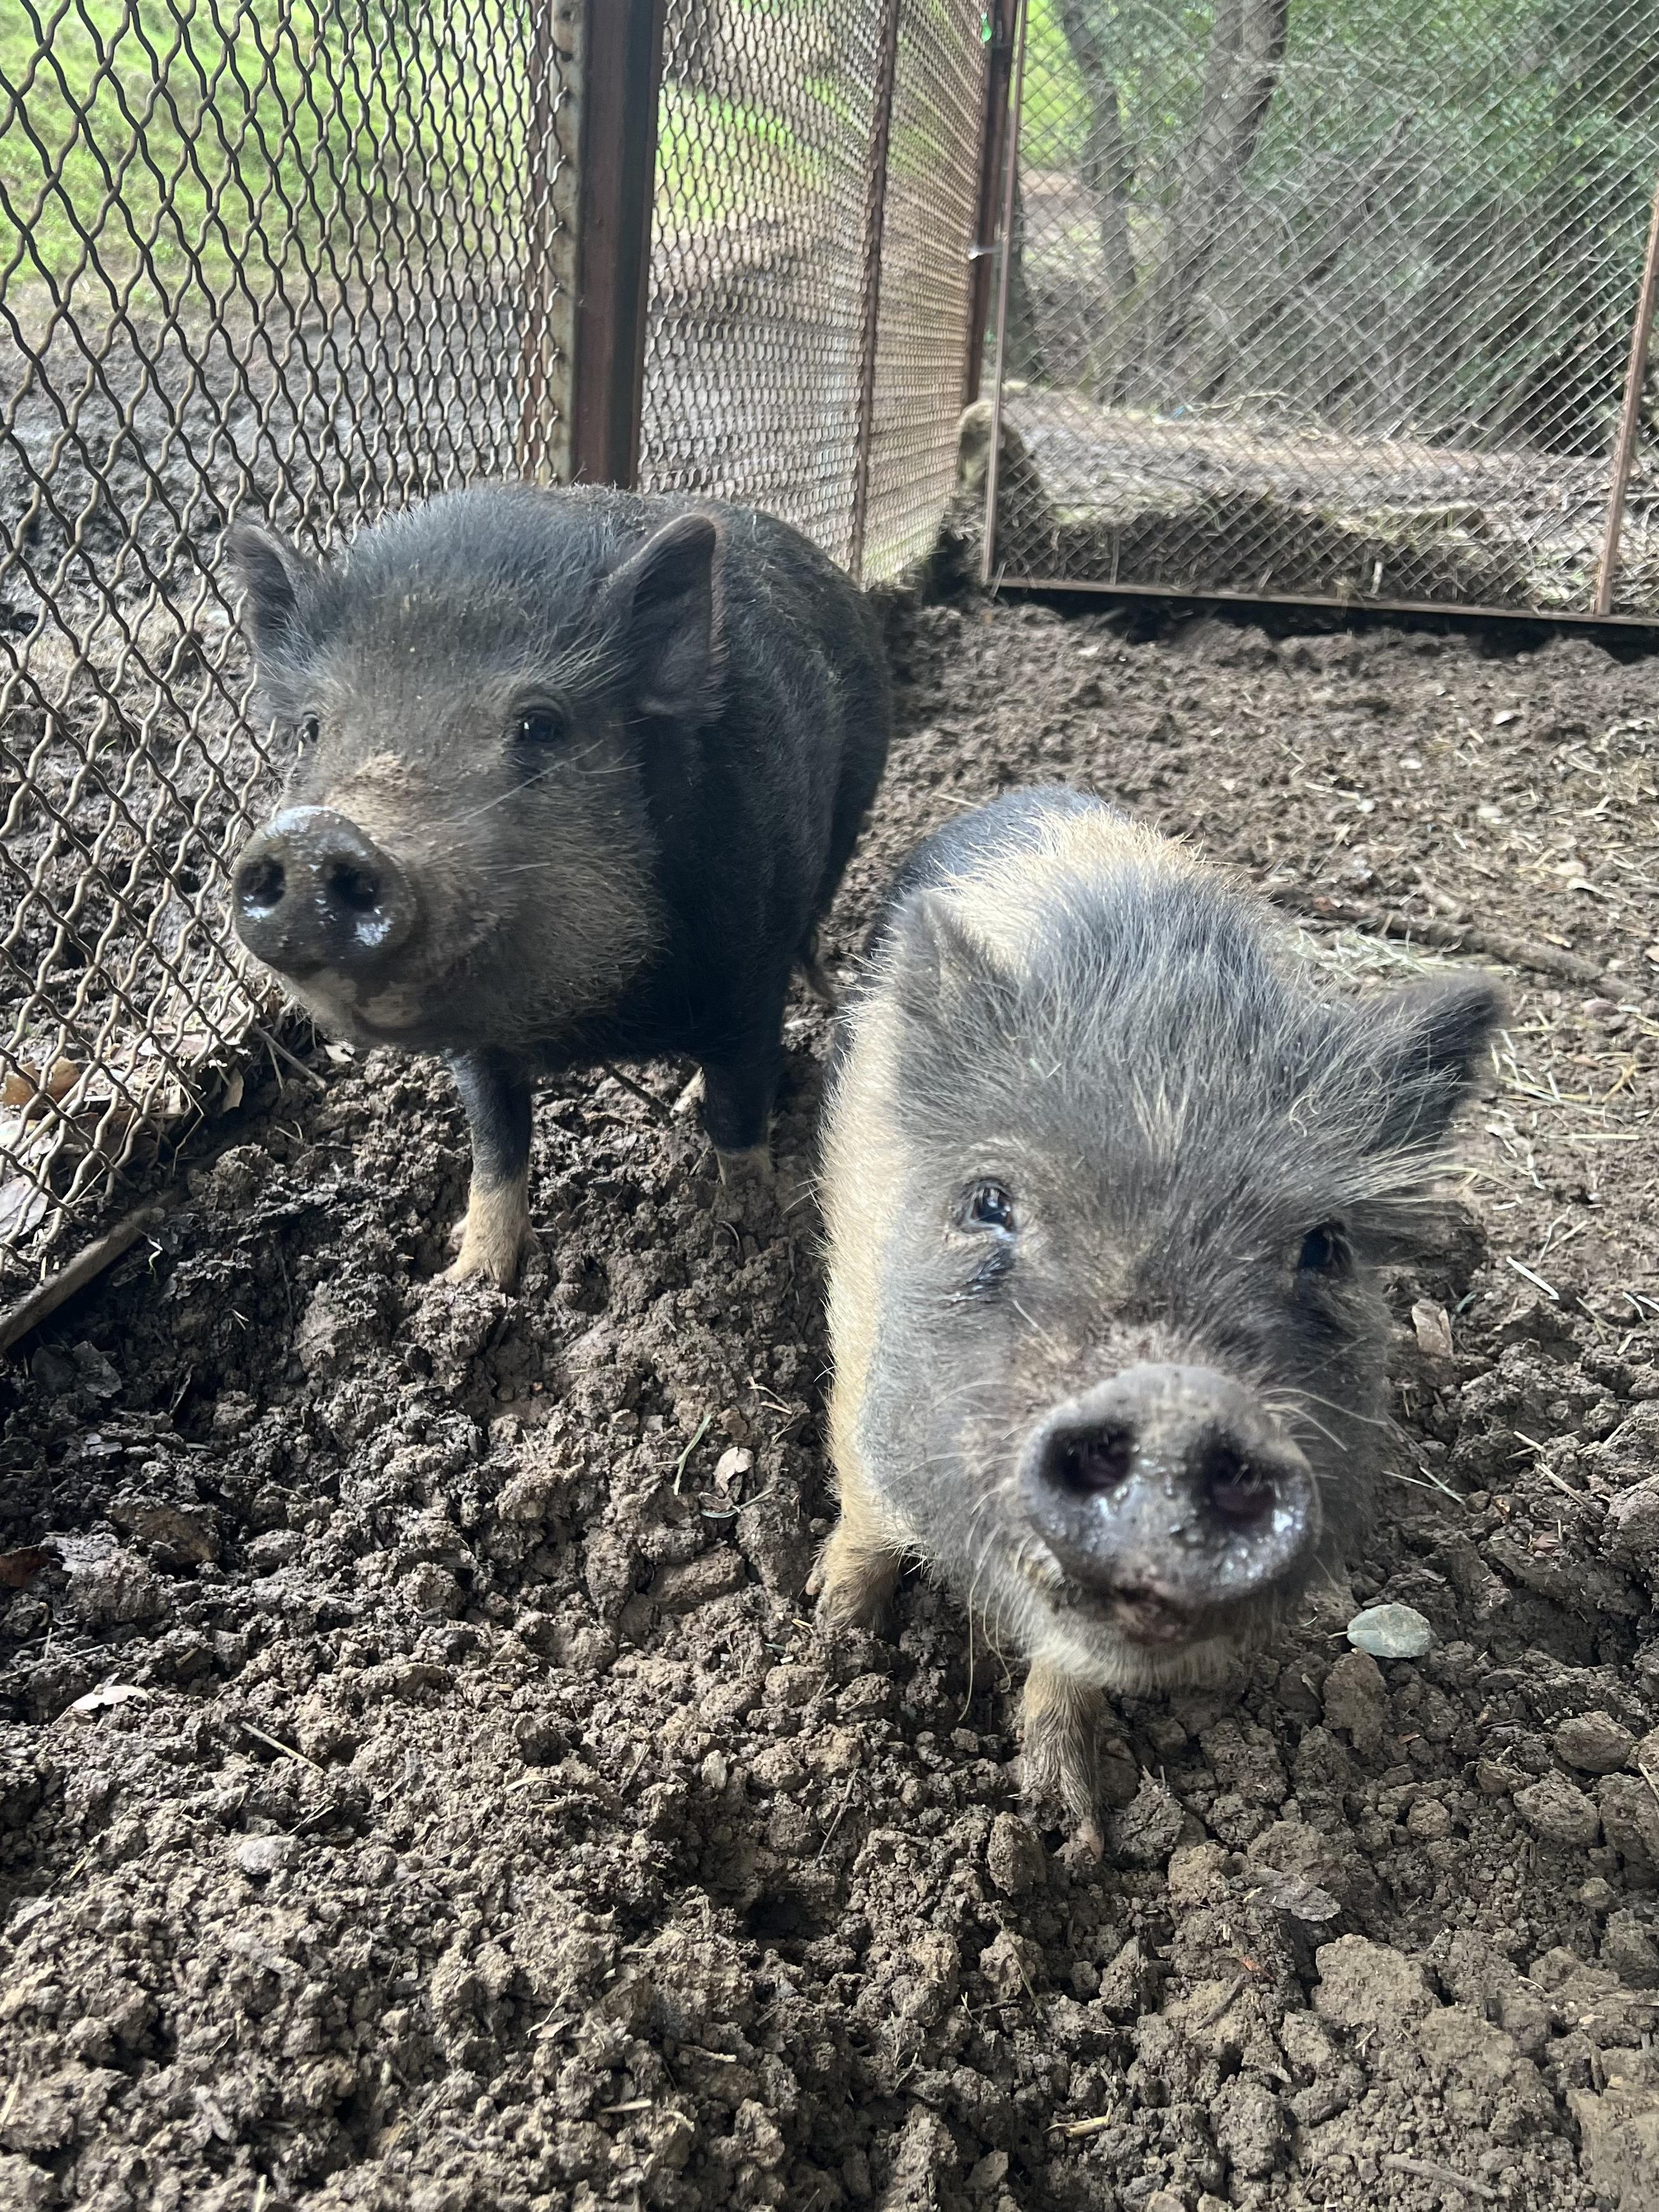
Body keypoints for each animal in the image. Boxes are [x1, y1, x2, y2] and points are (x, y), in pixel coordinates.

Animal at [225, 486, 890, 1285]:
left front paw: (748, 1232)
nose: (313, 833)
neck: (591, 1020)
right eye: (312, 728)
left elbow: (738, 1115)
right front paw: (467, 1281)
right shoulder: (476, 1048)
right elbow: (494, 1145)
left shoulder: (749, 972)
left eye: (540, 724)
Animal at [815, 787, 1499, 1846]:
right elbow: (866, 1509)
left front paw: (1066, 1822)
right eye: (988, 1200)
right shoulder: (859, 1347)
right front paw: (824, 1638)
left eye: (1325, 1246)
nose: (1178, 1402)